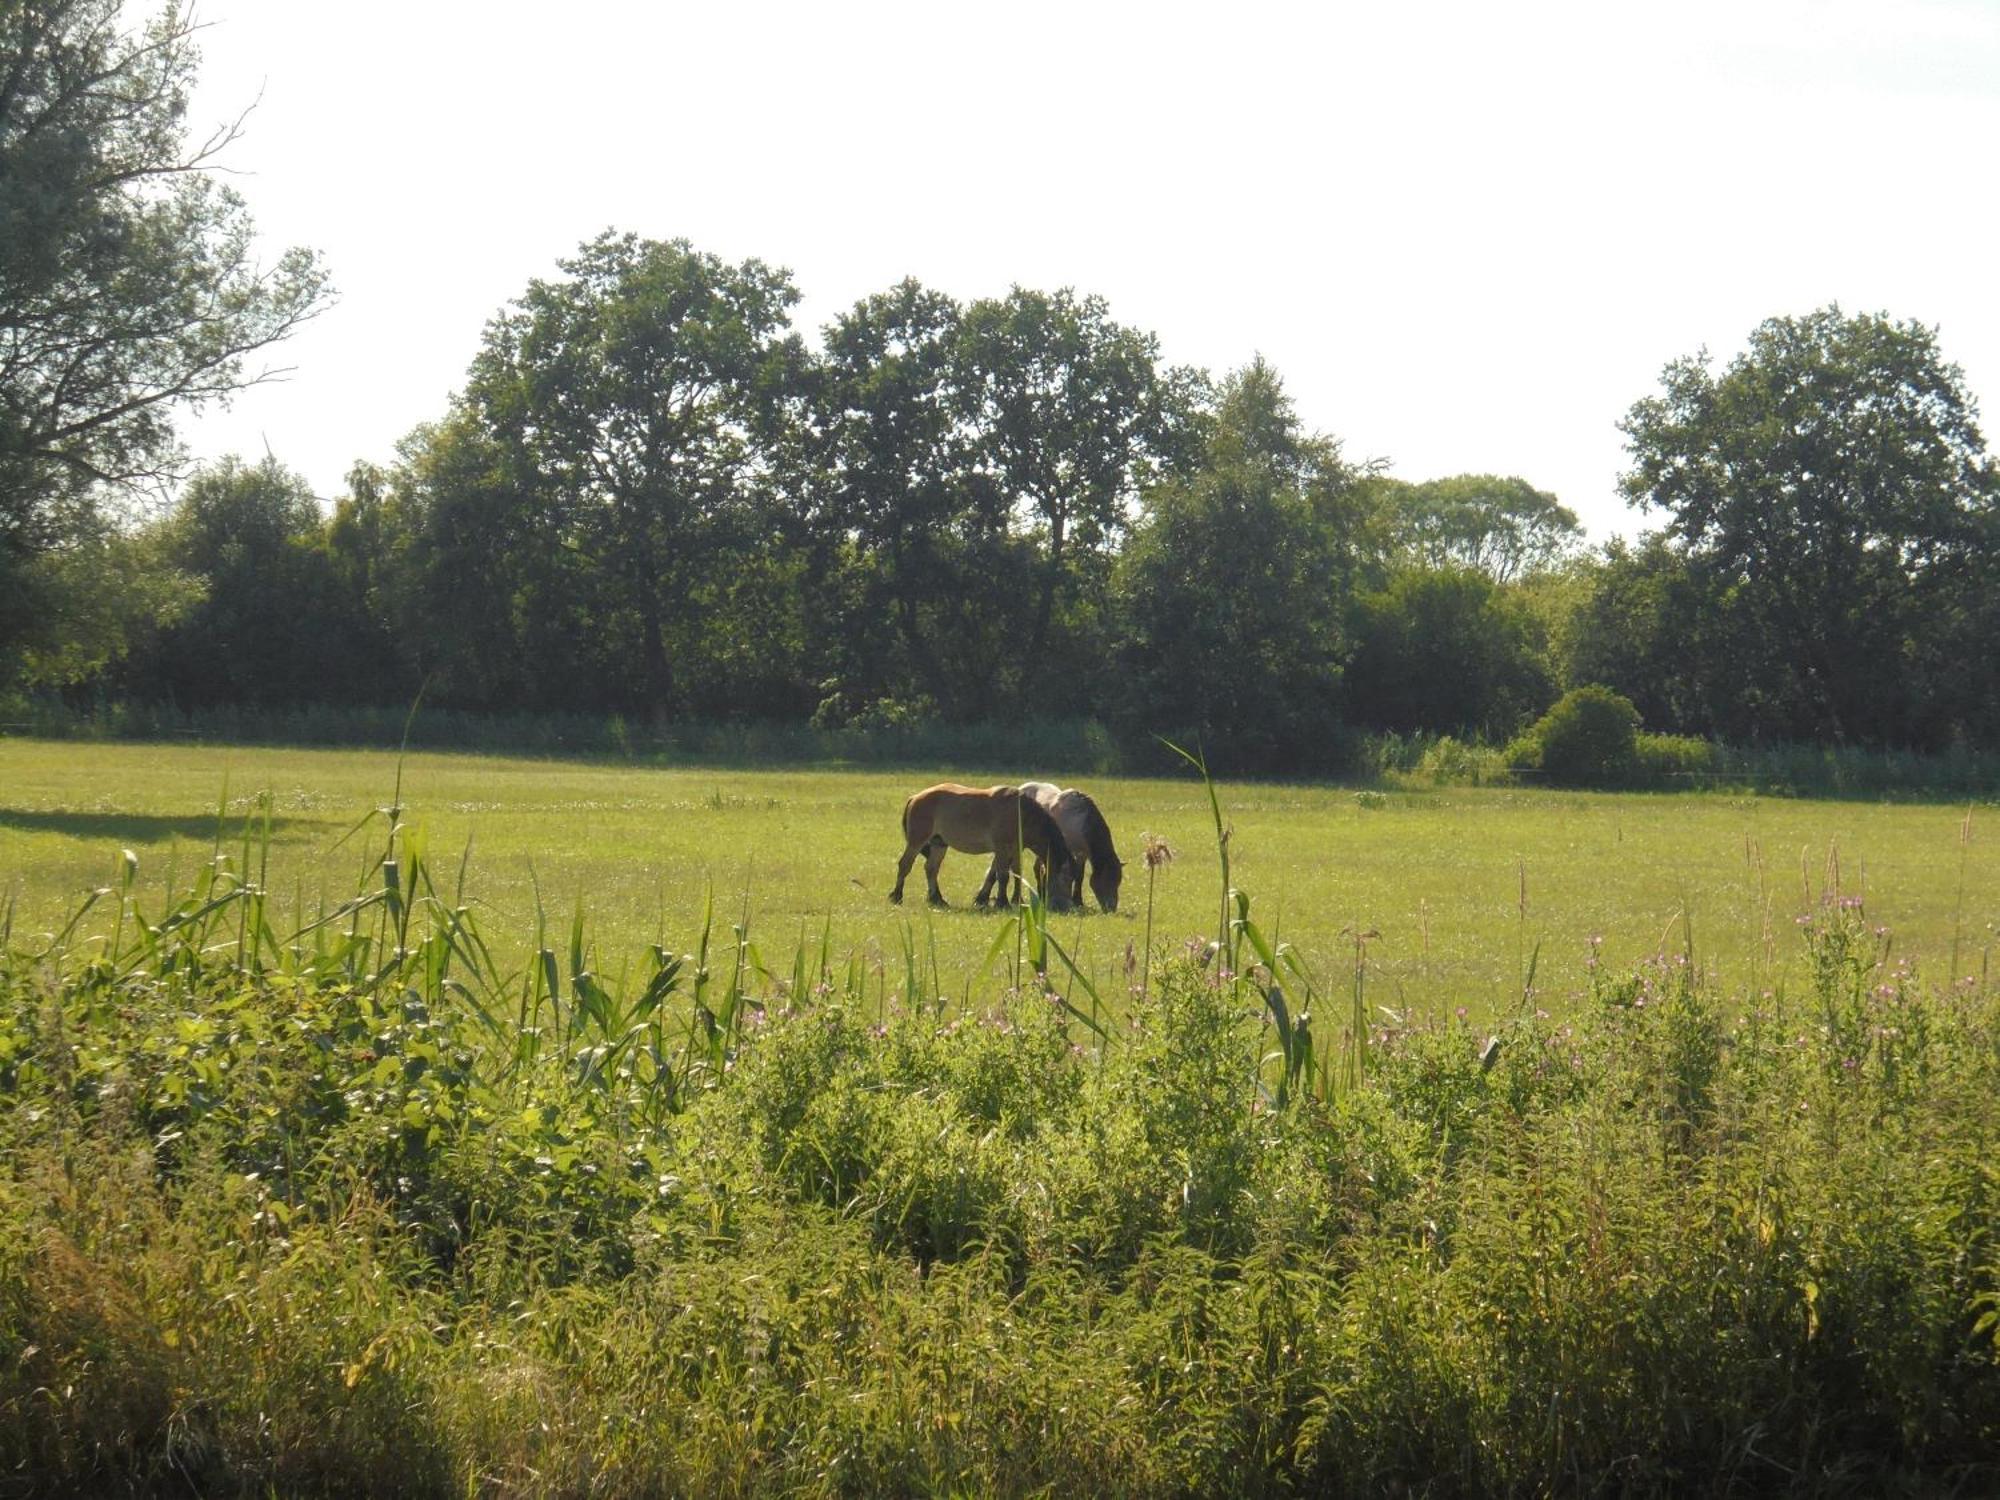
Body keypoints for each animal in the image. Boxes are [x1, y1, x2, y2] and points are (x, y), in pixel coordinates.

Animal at [896, 788, 1080, 916]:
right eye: (1066, 878)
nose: (1066, 908)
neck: (1022, 814)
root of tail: (915, 797)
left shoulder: (1014, 849)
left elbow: (1011, 874)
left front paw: (1013, 900)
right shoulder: (1002, 848)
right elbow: (1003, 876)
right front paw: (1003, 902)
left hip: (939, 844)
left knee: (931, 869)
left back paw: (937, 899)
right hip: (916, 841)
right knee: (905, 864)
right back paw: (897, 896)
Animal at [1016, 788, 1128, 916]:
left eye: (1118, 882)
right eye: (1107, 880)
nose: (1111, 909)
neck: (1078, 820)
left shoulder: (1082, 854)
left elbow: (1080, 875)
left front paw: (1078, 901)